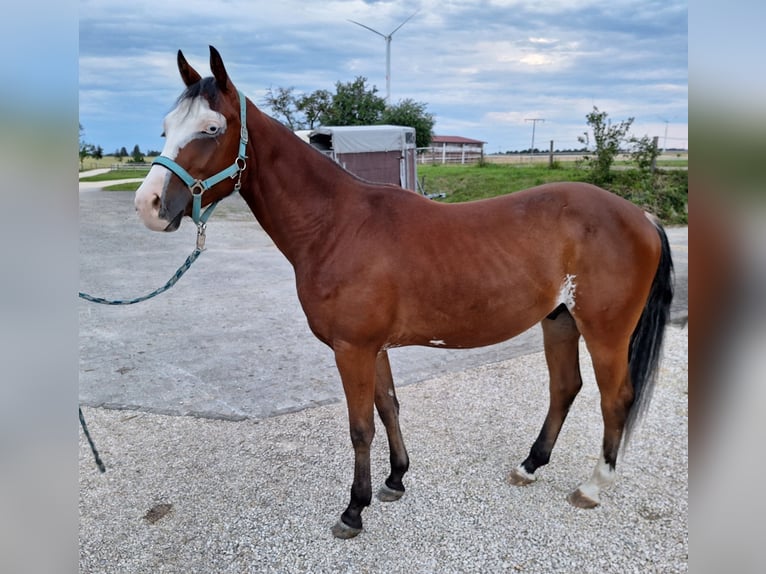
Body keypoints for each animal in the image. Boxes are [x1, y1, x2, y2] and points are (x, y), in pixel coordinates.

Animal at [135, 48, 676, 540]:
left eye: (211, 129)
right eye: (165, 128)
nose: (149, 205)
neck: (337, 226)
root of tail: (642, 216)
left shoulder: (352, 349)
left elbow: (360, 426)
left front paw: (354, 510)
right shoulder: (372, 348)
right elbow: (388, 406)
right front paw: (395, 480)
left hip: (604, 331)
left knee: (615, 398)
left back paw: (593, 486)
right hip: (559, 320)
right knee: (565, 387)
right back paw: (529, 465)